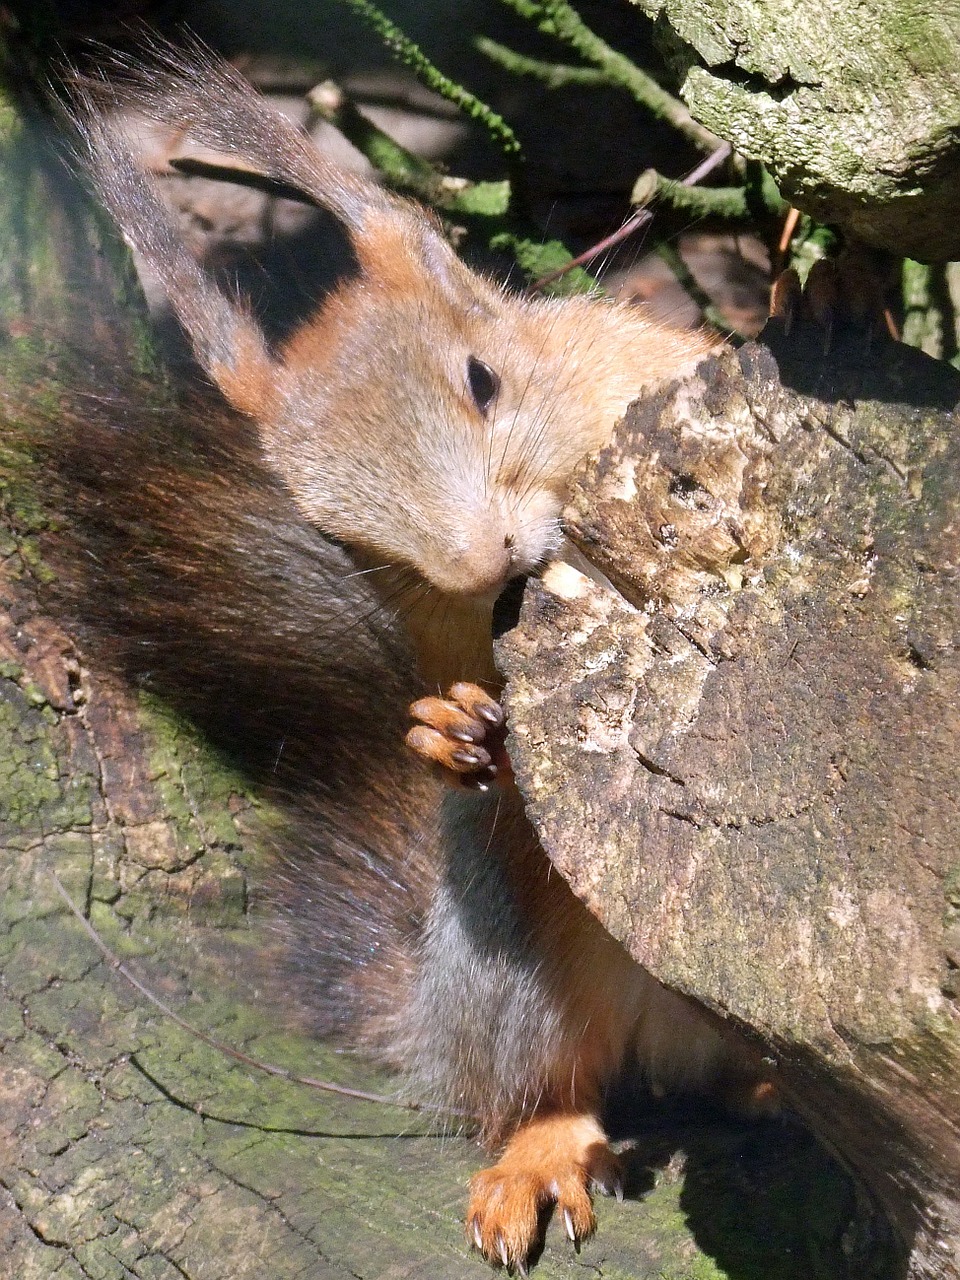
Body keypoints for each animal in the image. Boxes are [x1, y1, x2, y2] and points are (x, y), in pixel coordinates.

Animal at [65, 49, 773, 1269]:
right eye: (331, 523)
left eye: (484, 379)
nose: (488, 563)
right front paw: (452, 734)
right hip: (512, 961)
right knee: (541, 1082)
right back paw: (542, 1150)